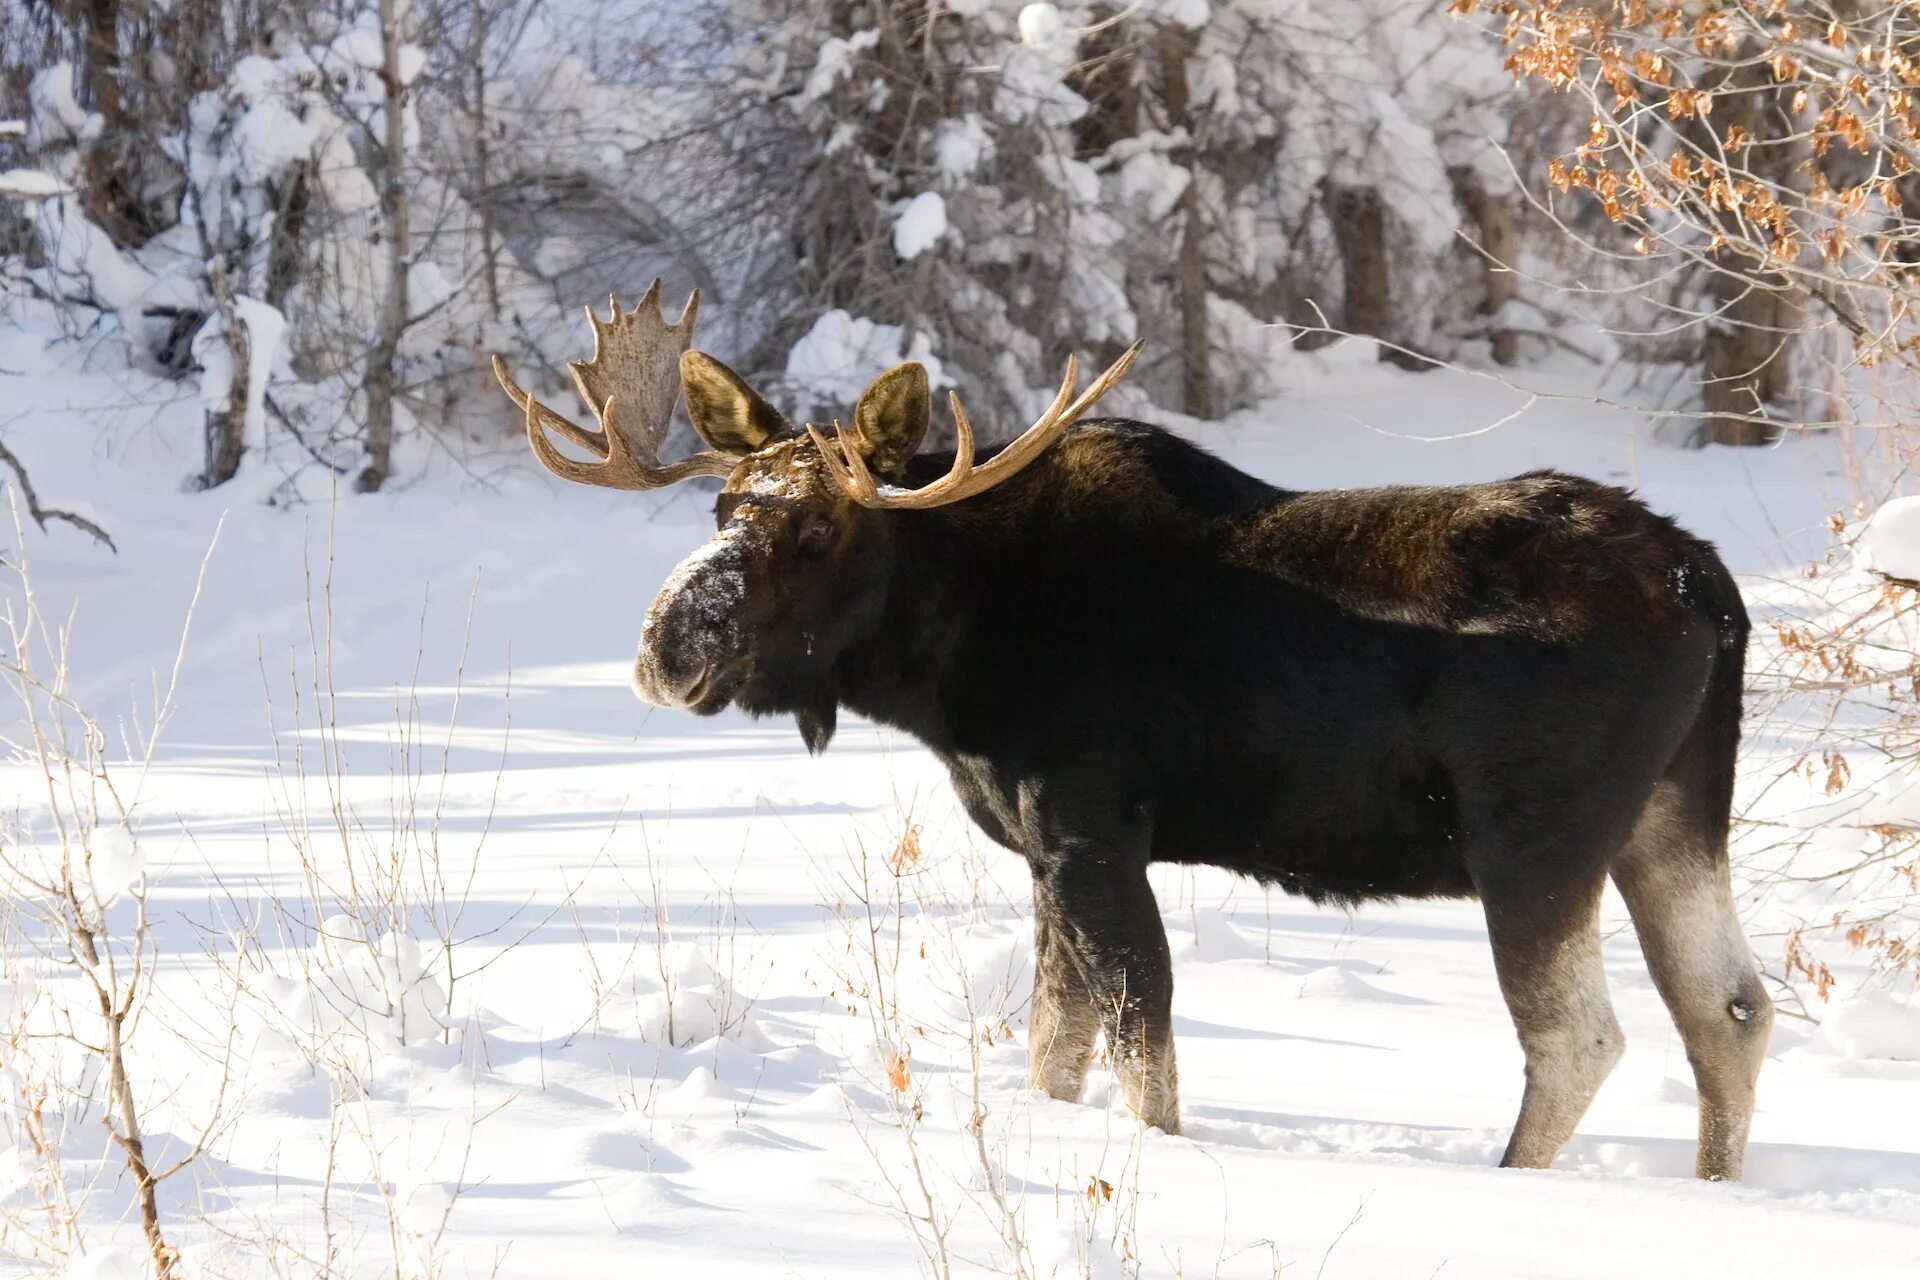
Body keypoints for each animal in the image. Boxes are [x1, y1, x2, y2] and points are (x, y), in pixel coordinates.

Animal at [495, 285, 1766, 1189]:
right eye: (722, 507)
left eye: (815, 529)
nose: (667, 645)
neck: (947, 657)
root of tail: (1709, 585)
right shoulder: (1046, 850)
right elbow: (1057, 1044)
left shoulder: (1093, 829)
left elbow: (1138, 1048)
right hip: (1672, 819)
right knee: (1732, 1011)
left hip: (1533, 837)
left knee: (1581, 1037)